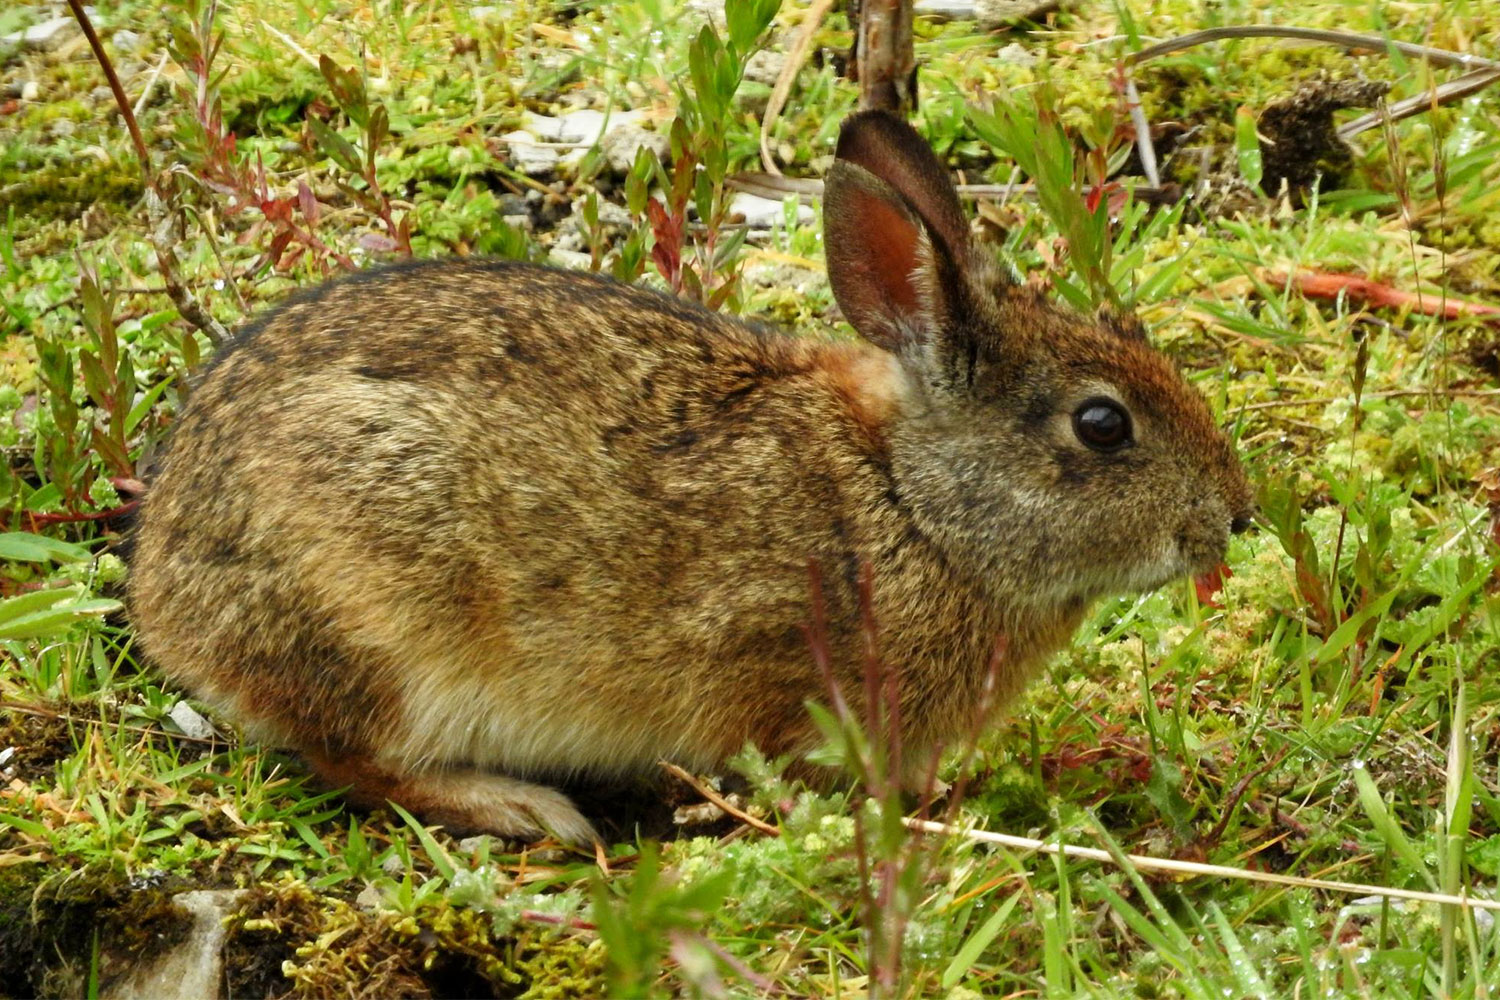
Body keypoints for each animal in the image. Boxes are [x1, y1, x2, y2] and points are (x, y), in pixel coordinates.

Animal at [126, 111, 1254, 845]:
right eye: (1102, 424)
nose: (1233, 519)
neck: (911, 503)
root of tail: (163, 594)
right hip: (379, 619)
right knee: (356, 756)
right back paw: (531, 810)